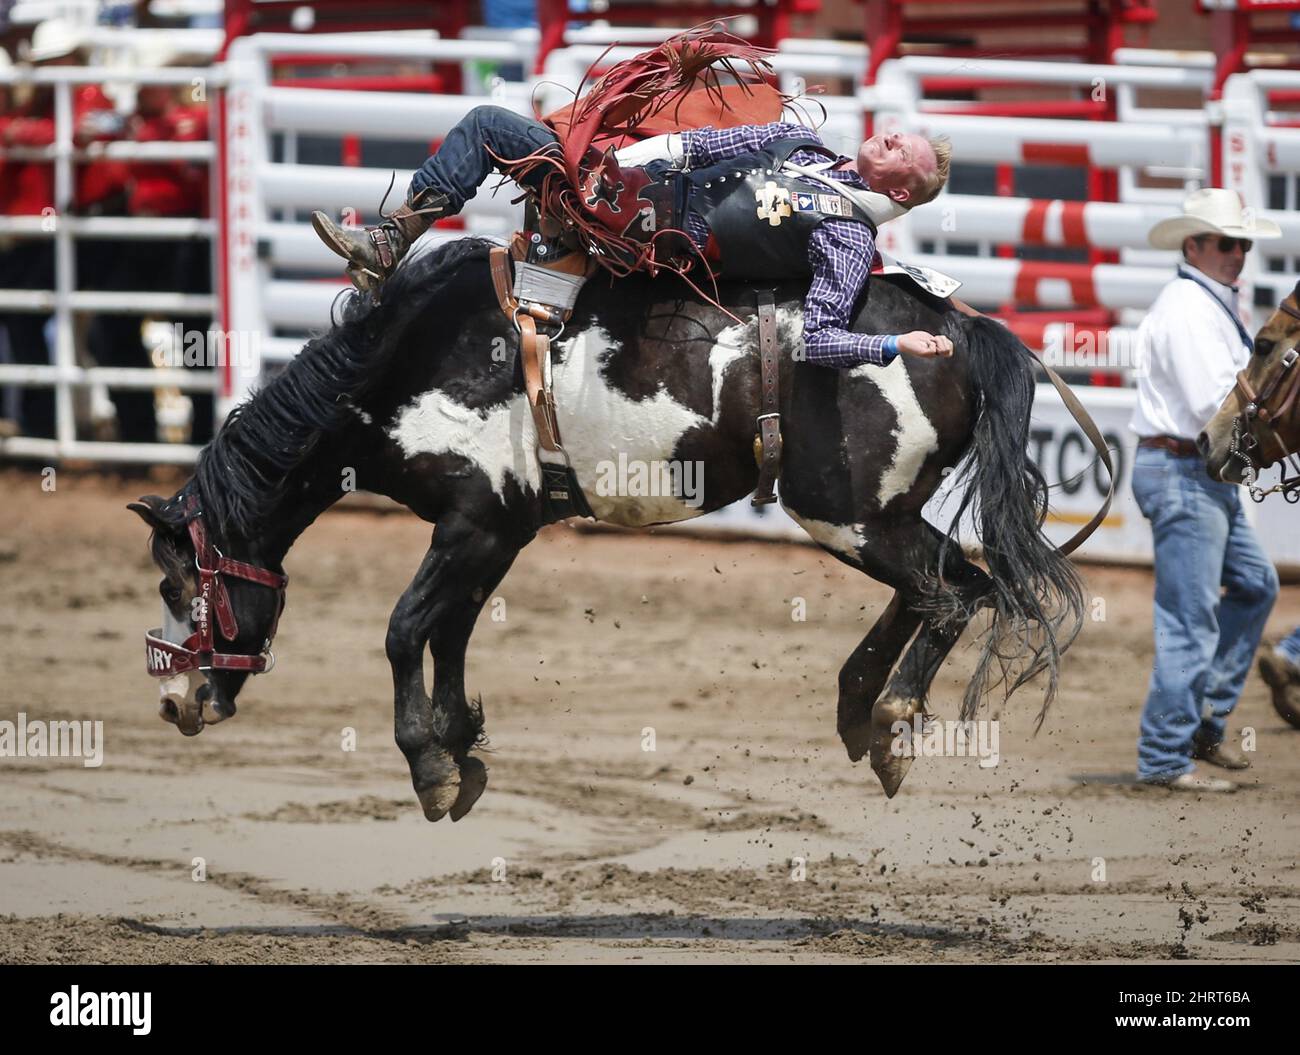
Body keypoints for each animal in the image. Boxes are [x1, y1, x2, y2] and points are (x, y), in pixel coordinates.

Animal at [129, 236, 1086, 815]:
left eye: (178, 582)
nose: (175, 701)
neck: (412, 363)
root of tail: (960, 329)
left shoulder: (473, 523)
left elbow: (406, 629)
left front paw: (430, 767)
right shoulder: (495, 532)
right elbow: (451, 632)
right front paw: (461, 744)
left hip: (845, 509)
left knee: (959, 587)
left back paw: (887, 718)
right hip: (873, 514)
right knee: (939, 585)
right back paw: (858, 704)